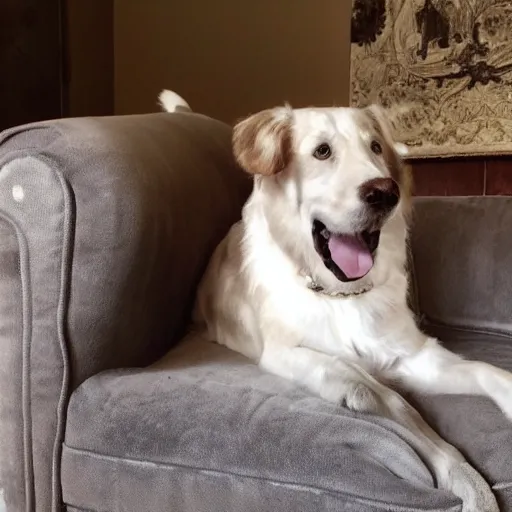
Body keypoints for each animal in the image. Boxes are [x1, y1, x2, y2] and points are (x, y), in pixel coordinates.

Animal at [158, 90, 510, 510]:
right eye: (322, 151)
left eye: (376, 147)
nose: (385, 192)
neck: (342, 296)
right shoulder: (289, 353)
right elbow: (393, 401)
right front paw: (464, 478)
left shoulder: (412, 355)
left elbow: (489, 372)